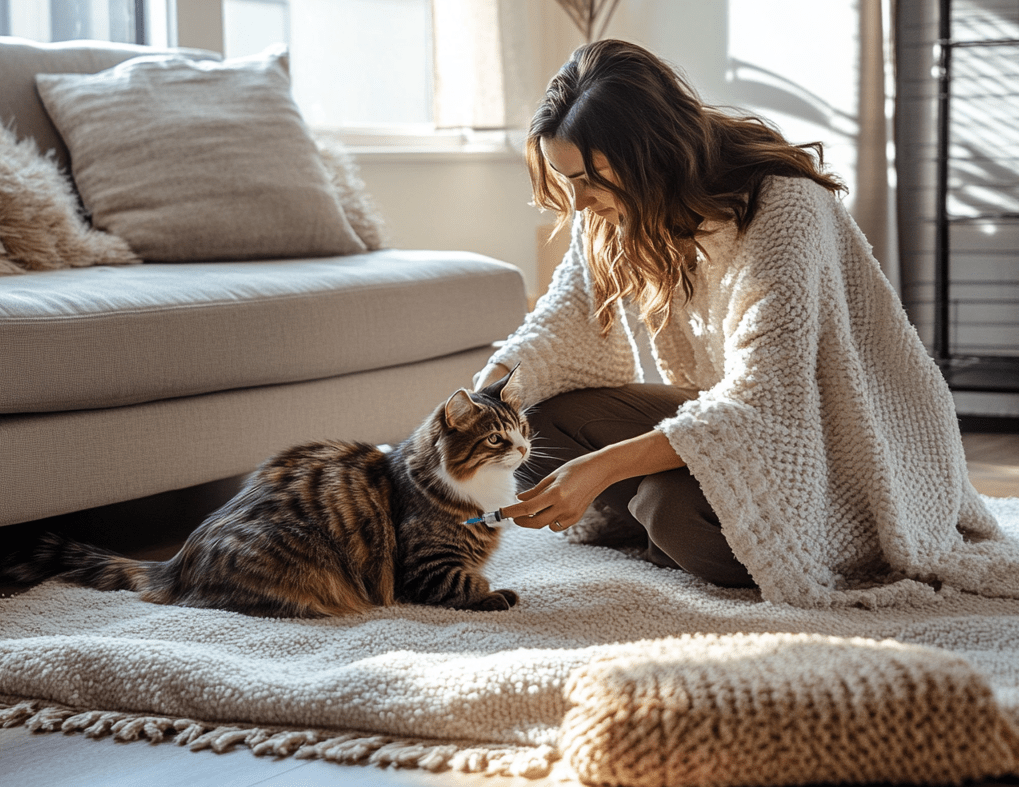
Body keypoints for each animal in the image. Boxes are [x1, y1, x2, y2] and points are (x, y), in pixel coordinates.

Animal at [9, 371, 533, 619]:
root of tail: (178, 559)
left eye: (523, 428)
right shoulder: (425, 566)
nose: (526, 448)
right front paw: (497, 595)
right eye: (494, 439)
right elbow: (464, 586)